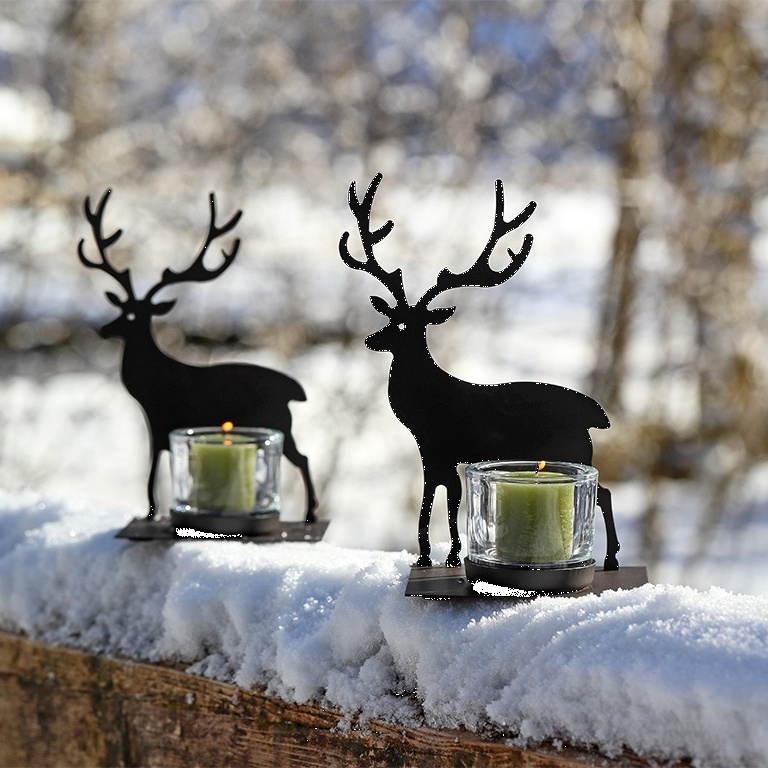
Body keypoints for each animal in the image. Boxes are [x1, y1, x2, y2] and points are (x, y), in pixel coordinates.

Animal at [78, 189, 317, 523]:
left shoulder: (159, 418)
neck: (147, 381)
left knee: (304, 458)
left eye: (131, 316)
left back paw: (311, 513)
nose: (102, 329)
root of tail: (296, 392)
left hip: (277, 421)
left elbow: (153, 466)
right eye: (121, 308)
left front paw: (150, 512)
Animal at [340, 173, 619, 570]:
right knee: (604, 491)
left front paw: (441, 555)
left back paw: (610, 558)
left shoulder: (440, 447)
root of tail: (598, 417)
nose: (370, 339)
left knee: (603, 492)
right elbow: (441, 498)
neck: (421, 403)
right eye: (391, 318)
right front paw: (435, 556)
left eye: (408, 326)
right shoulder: (435, 452)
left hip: (573, 449)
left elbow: (443, 500)